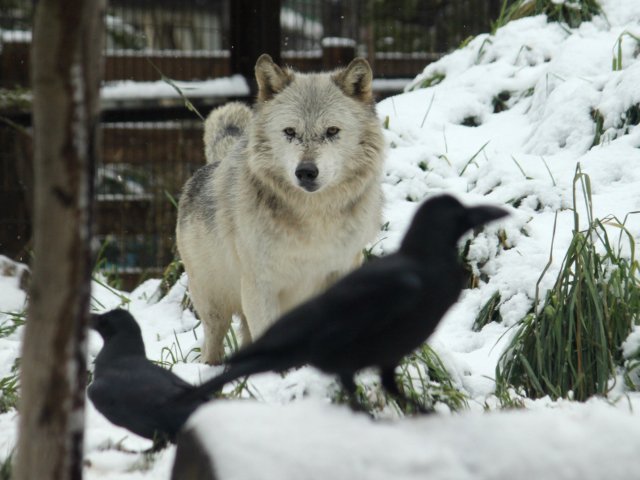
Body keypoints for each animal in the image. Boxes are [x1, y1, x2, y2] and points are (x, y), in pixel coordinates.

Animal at [175, 53, 384, 364]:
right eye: (290, 132)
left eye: (332, 131)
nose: (306, 172)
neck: (314, 220)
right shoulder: (261, 288)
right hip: (214, 307)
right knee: (213, 345)